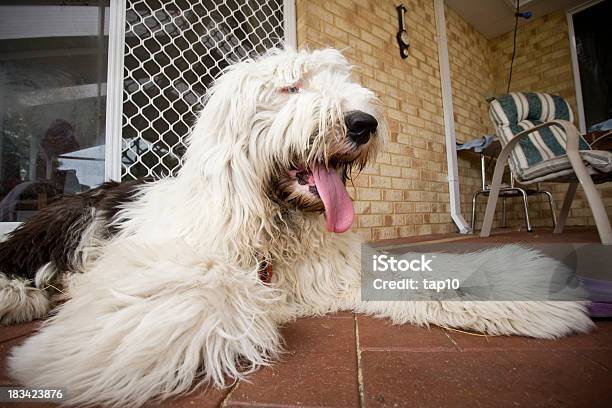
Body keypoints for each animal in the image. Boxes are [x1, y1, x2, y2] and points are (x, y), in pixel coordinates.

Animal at [0, 47, 592, 404]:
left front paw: (522, 289)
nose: (364, 123)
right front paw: (71, 354)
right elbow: (200, 286)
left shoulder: (331, 274)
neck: (275, 221)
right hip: (65, 224)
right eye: (290, 89)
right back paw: (21, 297)